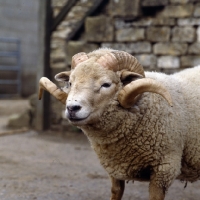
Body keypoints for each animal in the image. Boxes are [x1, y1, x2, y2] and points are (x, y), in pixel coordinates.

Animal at [38, 48, 200, 200]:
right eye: (70, 83)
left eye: (106, 84)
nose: (72, 108)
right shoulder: (115, 169)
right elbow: (116, 192)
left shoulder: (163, 170)